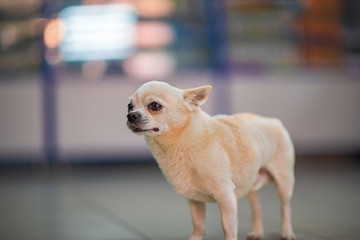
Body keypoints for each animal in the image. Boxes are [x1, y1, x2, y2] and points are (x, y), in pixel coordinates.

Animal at [126, 81, 296, 240]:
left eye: (155, 106)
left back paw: (287, 232)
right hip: (250, 184)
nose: (131, 115)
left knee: (285, 208)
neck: (180, 145)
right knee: (257, 208)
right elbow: (198, 223)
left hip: (284, 183)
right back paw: (257, 231)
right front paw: (195, 238)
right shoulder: (194, 199)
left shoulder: (226, 196)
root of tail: (274, 121)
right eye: (129, 106)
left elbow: (228, 226)